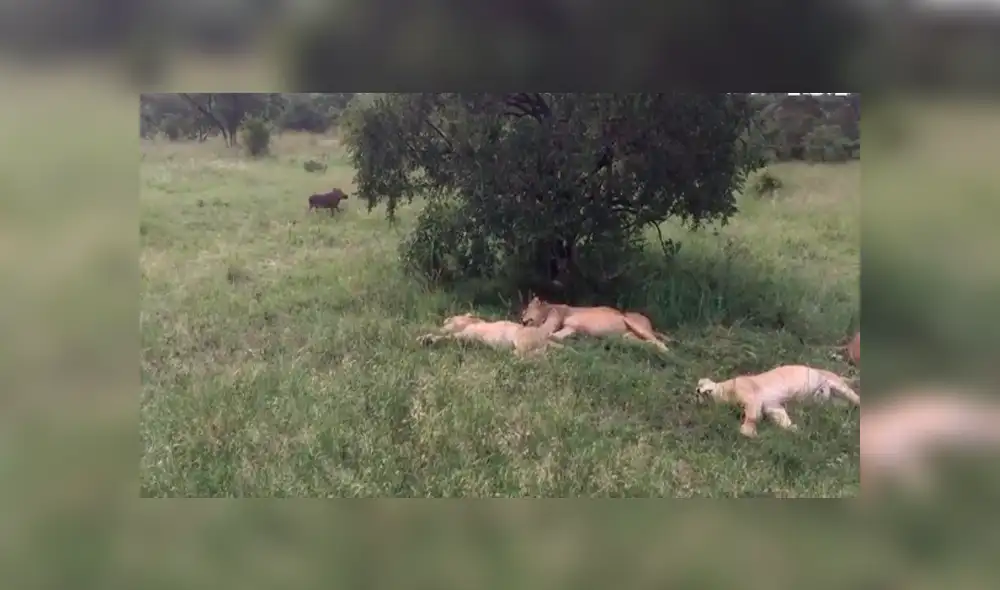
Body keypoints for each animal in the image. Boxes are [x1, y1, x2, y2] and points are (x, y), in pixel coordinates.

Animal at [416, 308, 566, 357]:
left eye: (452, 317)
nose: (445, 320)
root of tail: (546, 338)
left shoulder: (466, 334)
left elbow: (447, 337)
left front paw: (427, 339)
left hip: (521, 340)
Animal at [518, 296, 670, 352]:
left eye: (526, 310)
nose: (522, 319)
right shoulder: (570, 328)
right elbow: (556, 335)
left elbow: (547, 332)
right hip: (627, 337)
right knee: (646, 342)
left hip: (630, 321)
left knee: (660, 342)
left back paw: (667, 353)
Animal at [695, 364, 860, 437]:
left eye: (699, 386)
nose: (698, 393)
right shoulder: (771, 405)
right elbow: (781, 417)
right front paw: (793, 428)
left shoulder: (752, 396)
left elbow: (752, 416)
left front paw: (748, 431)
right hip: (834, 402)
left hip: (837, 385)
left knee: (856, 397)